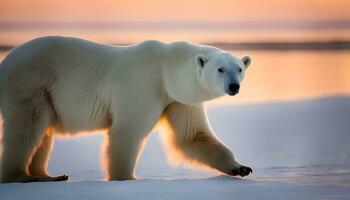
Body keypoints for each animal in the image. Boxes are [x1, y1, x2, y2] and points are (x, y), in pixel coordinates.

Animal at [0, 36, 252, 183]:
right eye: (220, 69)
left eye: (239, 68)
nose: (234, 86)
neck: (166, 68)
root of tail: (6, 61)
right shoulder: (143, 85)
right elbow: (127, 133)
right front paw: (126, 178)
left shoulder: (178, 99)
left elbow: (192, 136)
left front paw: (241, 168)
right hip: (31, 82)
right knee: (27, 127)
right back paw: (21, 176)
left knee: (43, 132)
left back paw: (48, 175)